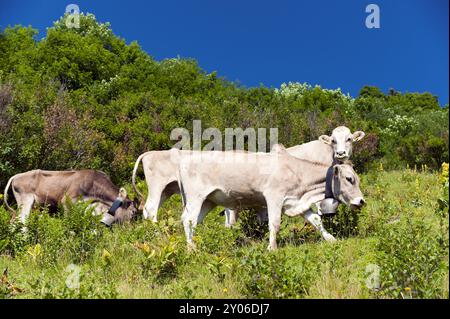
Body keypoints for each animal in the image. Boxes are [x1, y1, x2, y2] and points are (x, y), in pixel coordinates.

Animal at [3, 170, 137, 228]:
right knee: (22, 222)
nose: (131, 229)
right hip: (25, 201)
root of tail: (16, 176)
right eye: (133, 212)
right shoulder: (67, 201)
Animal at [176, 146, 366, 251]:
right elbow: (274, 223)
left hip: (208, 201)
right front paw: (272, 247)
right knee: (188, 219)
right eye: (349, 179)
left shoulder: (296, 202)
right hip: (196, 198)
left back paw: (193, 245)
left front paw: (331, 239)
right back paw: (192, 249)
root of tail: (185, 160)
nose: (361, 201)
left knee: (194, 222)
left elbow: (316, 221)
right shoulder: (274, 197)